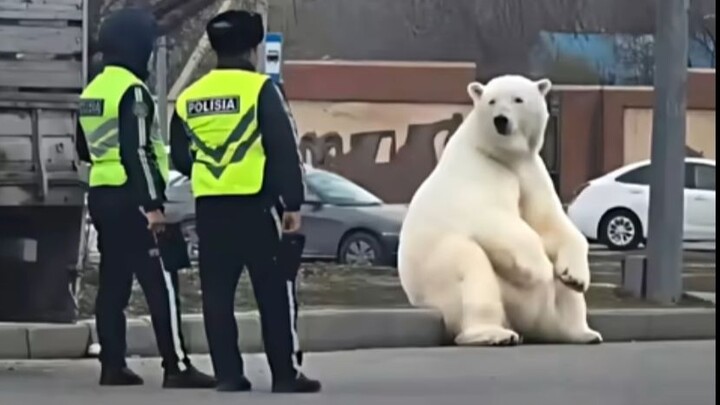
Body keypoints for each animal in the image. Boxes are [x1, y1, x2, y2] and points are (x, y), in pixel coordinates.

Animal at [397, 74, 602, 346]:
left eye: (518, 99)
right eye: (491, 101)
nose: (501, 120)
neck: (502, 156)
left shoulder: (530, 172)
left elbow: (549, 222)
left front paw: (575, 276)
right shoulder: (479, 172)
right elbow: (493, 219)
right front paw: (541, 268)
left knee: (561, 300)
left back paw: (581, 332)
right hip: (441, 270)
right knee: (471, 267)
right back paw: (494, 333)